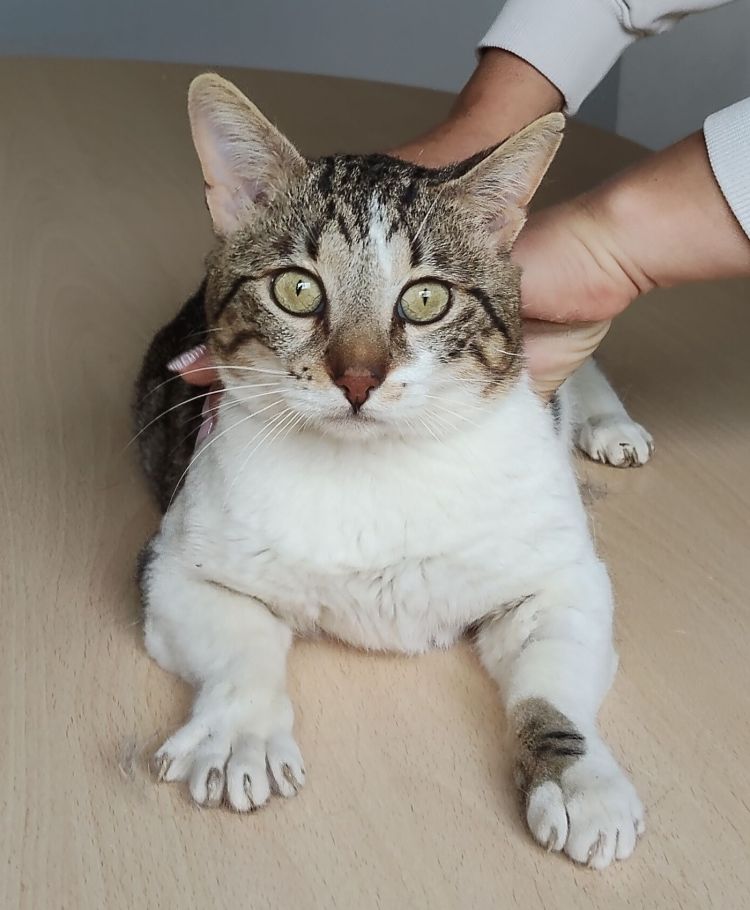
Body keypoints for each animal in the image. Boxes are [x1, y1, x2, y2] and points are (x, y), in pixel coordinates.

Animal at [134, 73, 654, 869]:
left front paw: (580, 778)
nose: (357, 378)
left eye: (427, 298)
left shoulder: (564, 578)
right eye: (297, 289)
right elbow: (243, 646)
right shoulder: (176, 564)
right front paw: (240, 732)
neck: (373, 473)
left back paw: (608, 423)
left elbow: (552, 688)